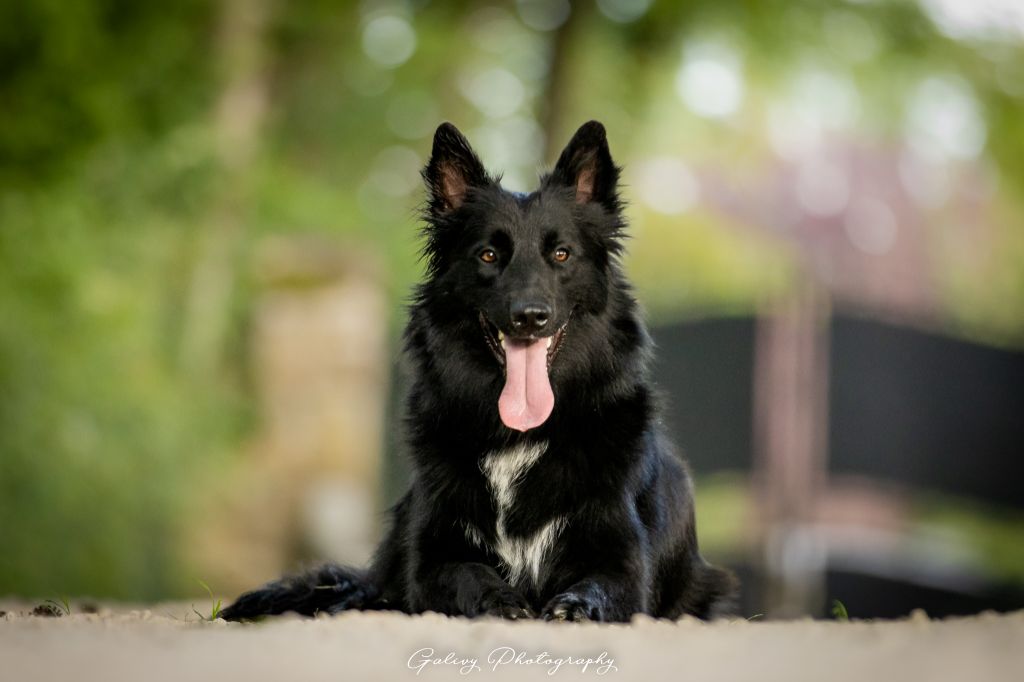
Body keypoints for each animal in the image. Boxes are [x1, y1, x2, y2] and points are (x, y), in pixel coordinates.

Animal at [224, 122, 737, 622]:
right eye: (489, 255)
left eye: (562, 254)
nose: (530, 317)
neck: (520, 436)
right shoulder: (432, 557)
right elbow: (466, 573)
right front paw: (502, 600)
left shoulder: (624, 562)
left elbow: (603, 586)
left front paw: (573, 607)